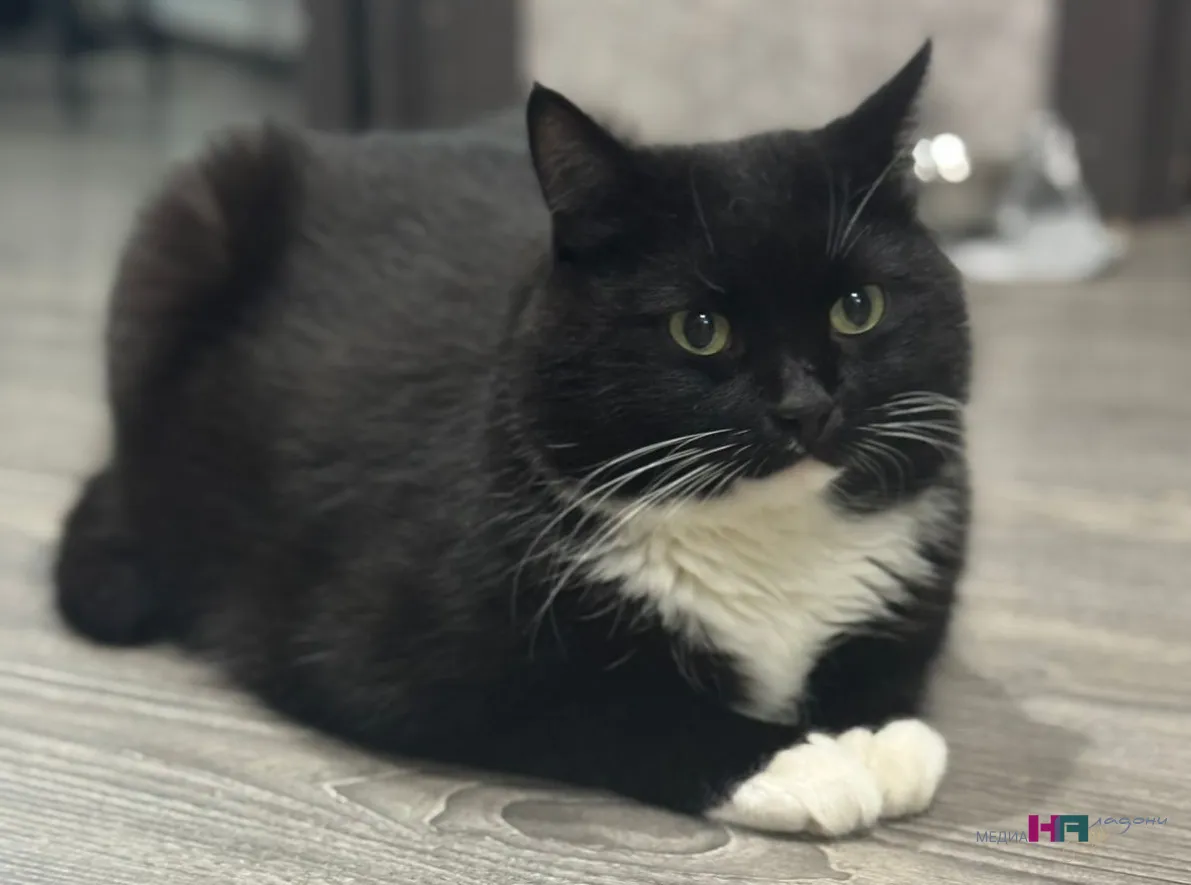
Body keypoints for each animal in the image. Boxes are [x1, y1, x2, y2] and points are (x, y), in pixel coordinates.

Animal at [54, 40, 971, 837]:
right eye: (699, 329)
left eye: (857, 308)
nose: (805, 406)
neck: (766, 535)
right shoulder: (383, 654)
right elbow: (609, 705)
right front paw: (799, 763)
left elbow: (892, 659)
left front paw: (880, 735)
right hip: (183, 230)